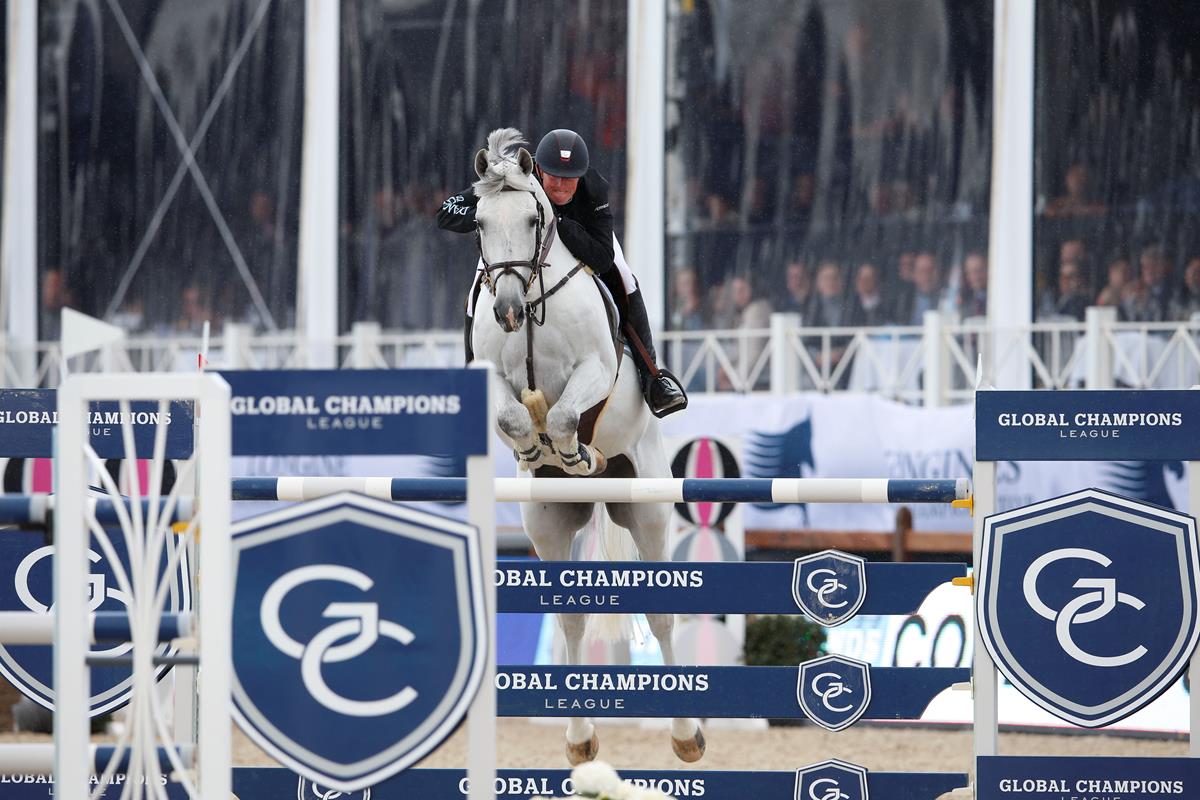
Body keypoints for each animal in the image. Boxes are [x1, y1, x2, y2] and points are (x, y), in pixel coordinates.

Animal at [468, 128, 700, 767]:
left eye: (532, 218)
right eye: (479, 222)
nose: (505, 310)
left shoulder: (595, 370)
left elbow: (568, 412)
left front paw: (571, 451)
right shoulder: (491, 378)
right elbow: (513, 413)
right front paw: (534, 450)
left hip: (648, 510)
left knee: (663, 615)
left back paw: (686, 735)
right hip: (547, 525)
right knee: (570, 618)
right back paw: (579, 739)